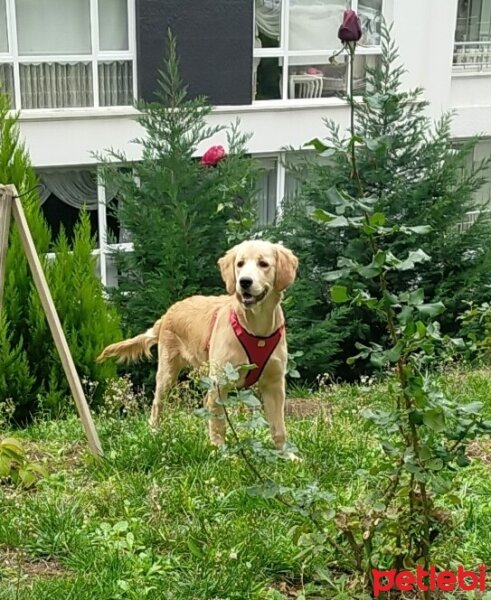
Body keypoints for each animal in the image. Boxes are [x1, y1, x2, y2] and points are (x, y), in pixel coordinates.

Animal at [97, 239, 298, 450]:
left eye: (263, 264)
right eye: (240, 264)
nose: (244, 282)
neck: (256, 329)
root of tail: (169, 311)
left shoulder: (274, 383)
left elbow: (278, 428)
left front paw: (285, 453)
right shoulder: (220, 382)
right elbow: (218, 424)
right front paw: (220, 451)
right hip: (167, 373)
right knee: (157, 405)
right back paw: (154, 433)